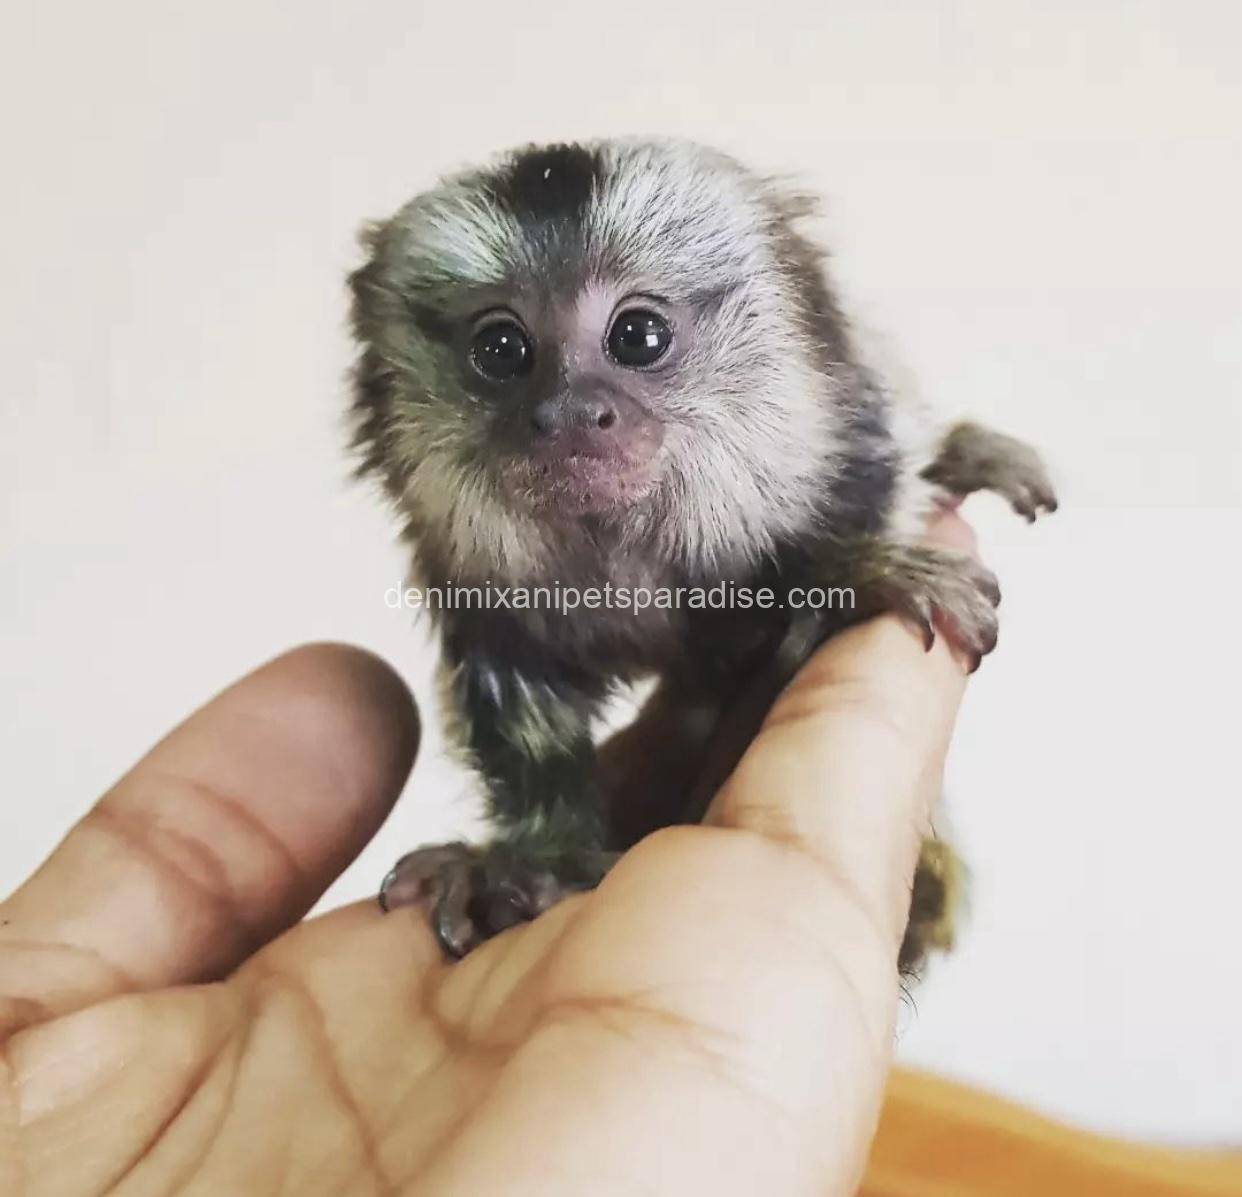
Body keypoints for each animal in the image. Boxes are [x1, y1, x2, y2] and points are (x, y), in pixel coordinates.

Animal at [347, 139, 1056, 973]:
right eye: (501, 349)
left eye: (637, 336)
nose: (570, 414)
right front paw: (532, 862)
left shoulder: (850, 447)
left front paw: (857, 577)